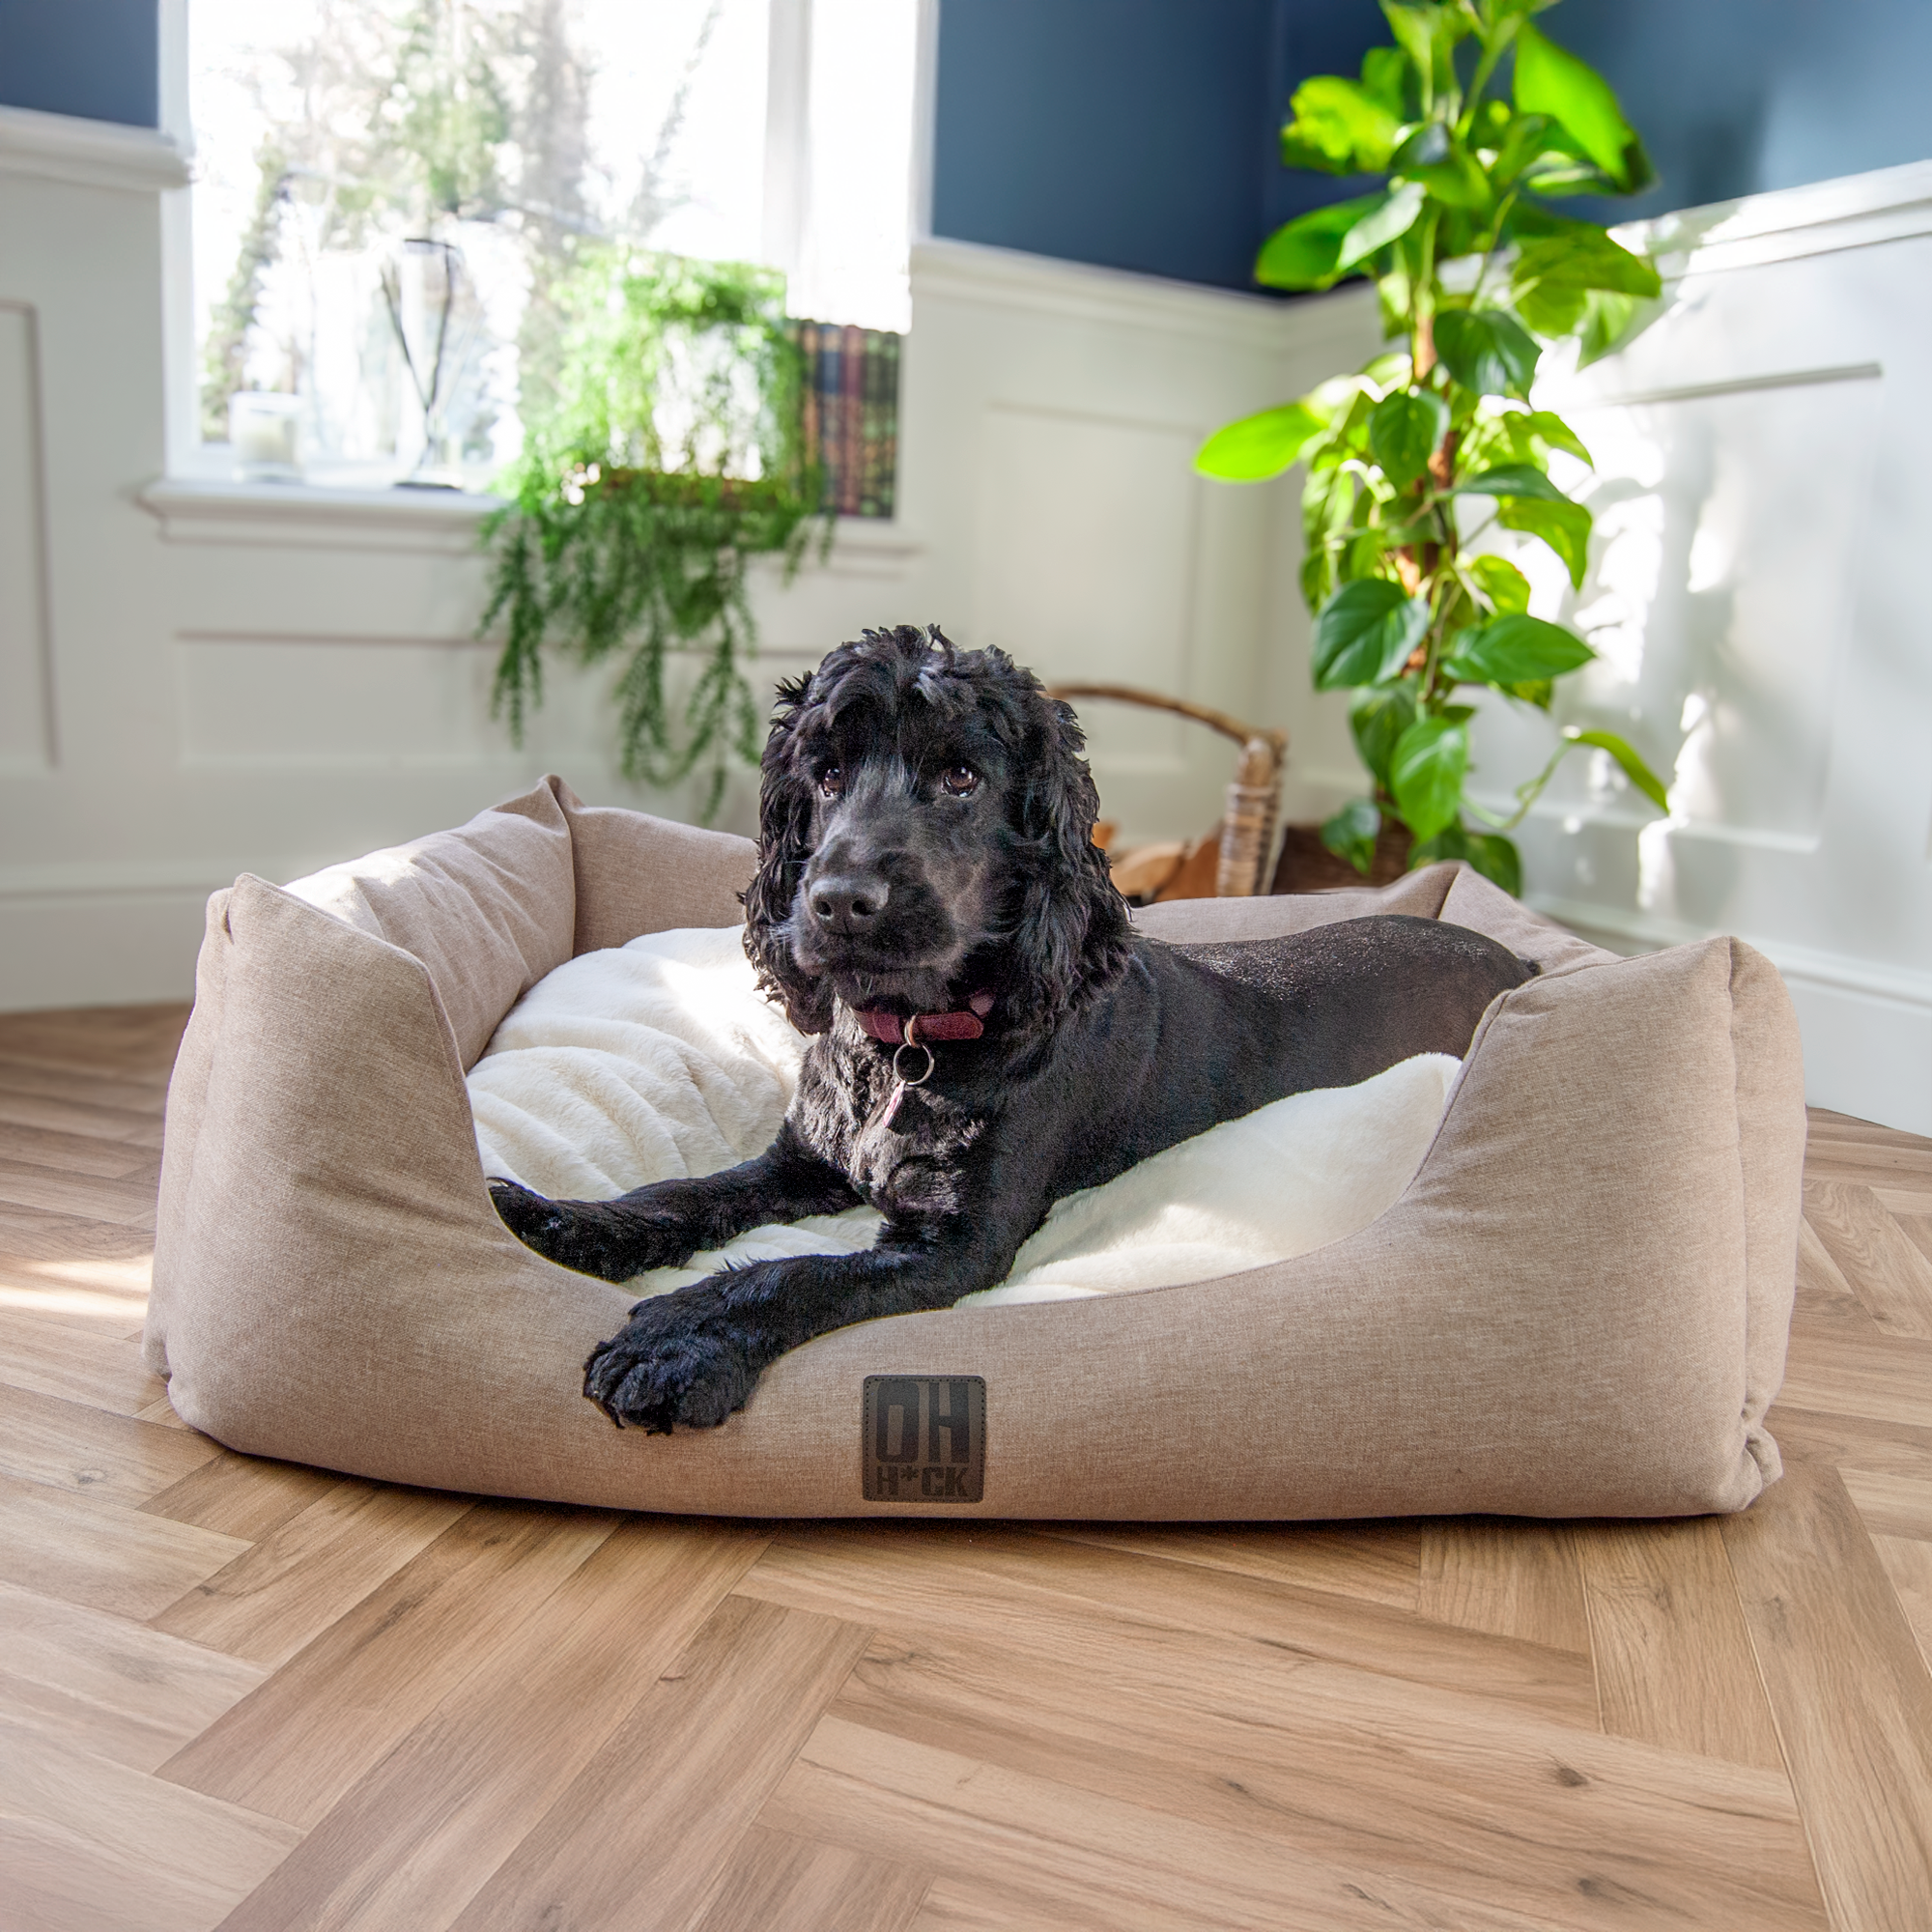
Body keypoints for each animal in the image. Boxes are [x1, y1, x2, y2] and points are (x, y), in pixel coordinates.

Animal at [491, 626, 1530, 1430]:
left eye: (960, 775)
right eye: (824, 773)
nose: (837, 901)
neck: (906, 1047)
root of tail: (1518, 962)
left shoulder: (956, 1243)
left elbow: (789, 1274)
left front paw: (676, 1341)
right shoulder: (802, 1161)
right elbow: (681, 1193)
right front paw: (557, 1217)